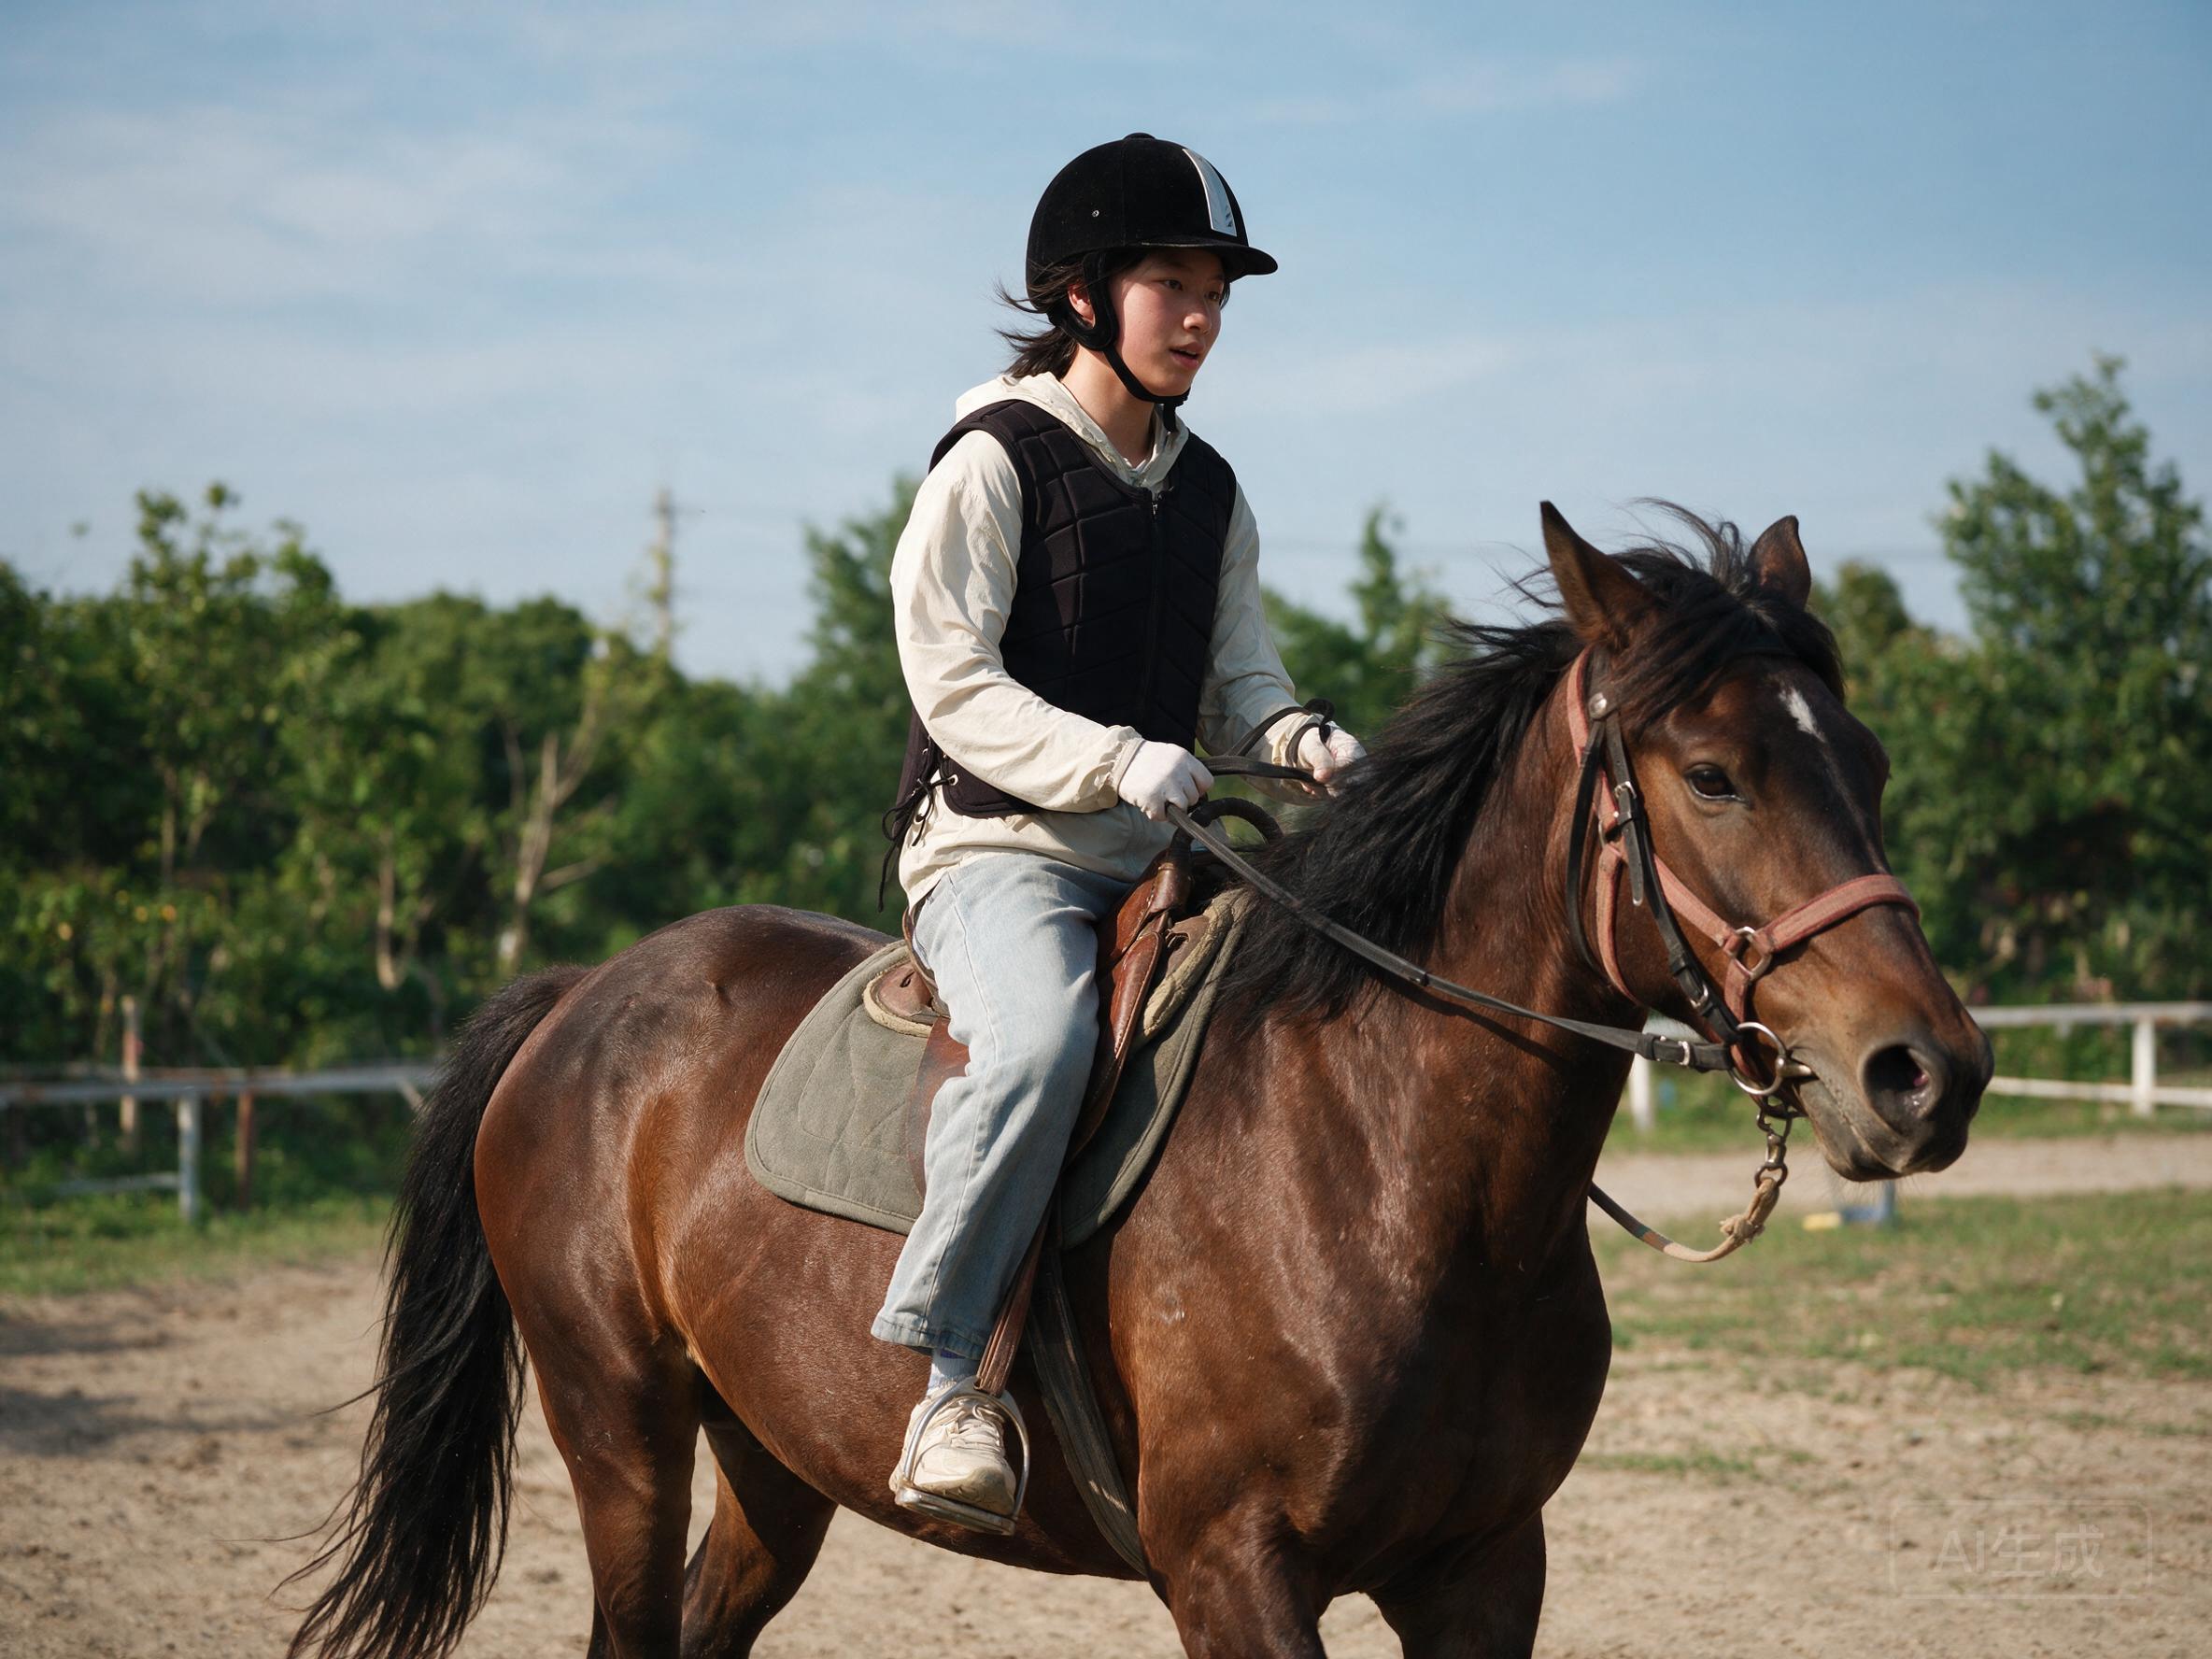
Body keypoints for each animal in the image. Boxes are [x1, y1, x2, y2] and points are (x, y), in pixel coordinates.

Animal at [285, 504, 1989, 1659]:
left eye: (1867, 761)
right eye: (1711, 774)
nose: (1927, 1072)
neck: (1381, 1165)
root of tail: (585, 997)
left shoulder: (1486, 1569)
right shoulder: (1235, 1571)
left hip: (770, 1462)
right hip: (619, 1433)